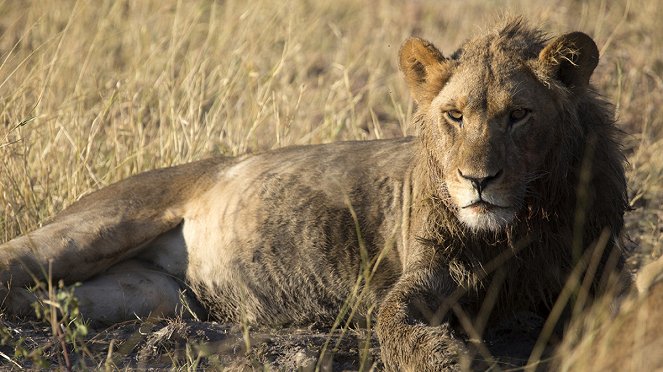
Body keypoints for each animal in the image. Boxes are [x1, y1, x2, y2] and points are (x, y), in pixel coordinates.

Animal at [0, 21, 632, 372]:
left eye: (519, 116)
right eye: (454, 116)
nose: (478, 180)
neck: (519, 224)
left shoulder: (599, 274)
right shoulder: (422, 276)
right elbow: (395, 326)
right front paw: (453, 359)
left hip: (145, 297)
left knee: (54, 301)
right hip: (93, 230)